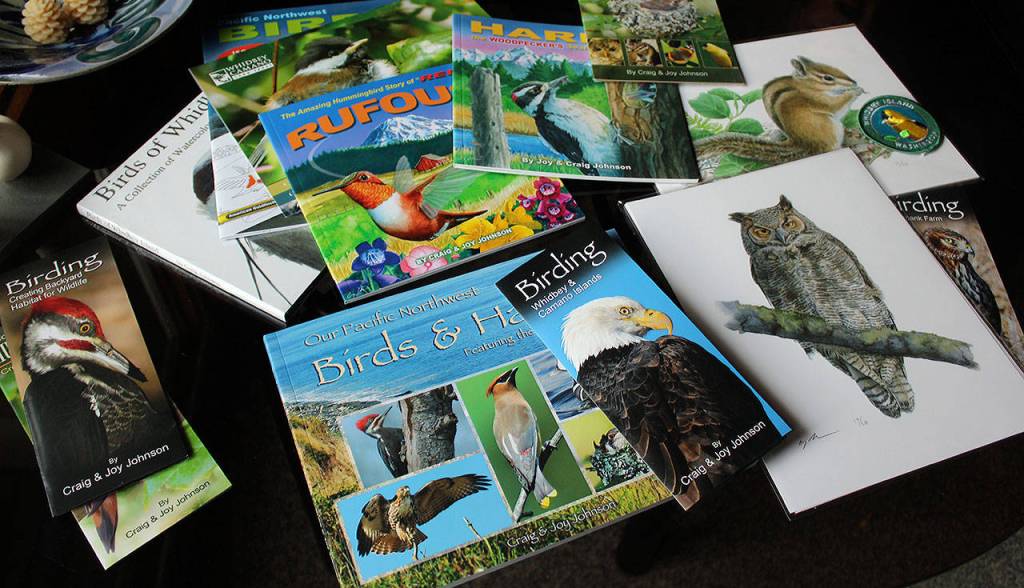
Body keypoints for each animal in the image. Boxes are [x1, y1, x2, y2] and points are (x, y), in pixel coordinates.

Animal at [695, 56, 865, 164]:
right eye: (828, 78)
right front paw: (854, 92)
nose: (854, 82)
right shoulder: (818, 101)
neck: (806, 87)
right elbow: (835, 106)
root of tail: (801, 144)